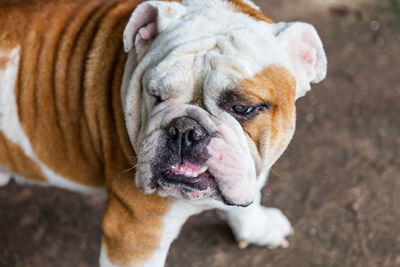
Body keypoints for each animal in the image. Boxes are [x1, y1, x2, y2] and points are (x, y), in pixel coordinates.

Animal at [0, 0, 324, 266]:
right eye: (155, 94)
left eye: (243, 108)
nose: (185, 129)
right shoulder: (136, 233)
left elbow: (250, 194)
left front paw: (257, 227)